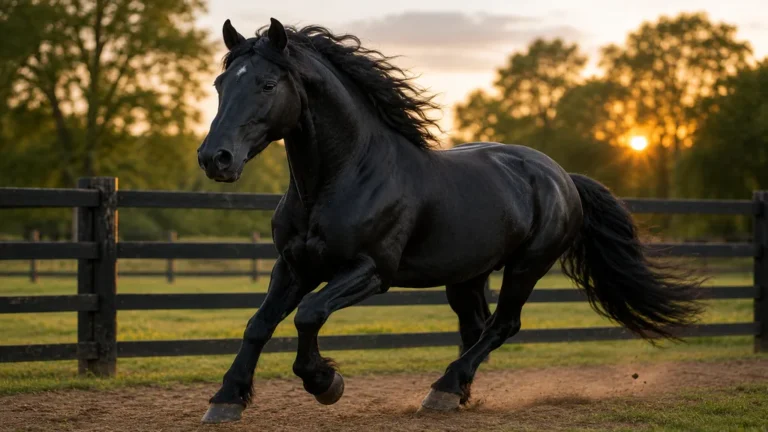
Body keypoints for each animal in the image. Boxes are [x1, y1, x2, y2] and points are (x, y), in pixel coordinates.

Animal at [196, 18, 702, 423]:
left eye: (266, 85)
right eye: (220, 84)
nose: (214, 158)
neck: (341, 179)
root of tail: (561, 176)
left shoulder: (371, 271)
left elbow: (309, 314)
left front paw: (326, 384)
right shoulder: (294, 266)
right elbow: (259, 324)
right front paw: (226, 400)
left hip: (527, 267)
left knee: (503, 326)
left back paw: (441, 390)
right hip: (467, 275)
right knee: (477, 326)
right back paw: (457, 393)